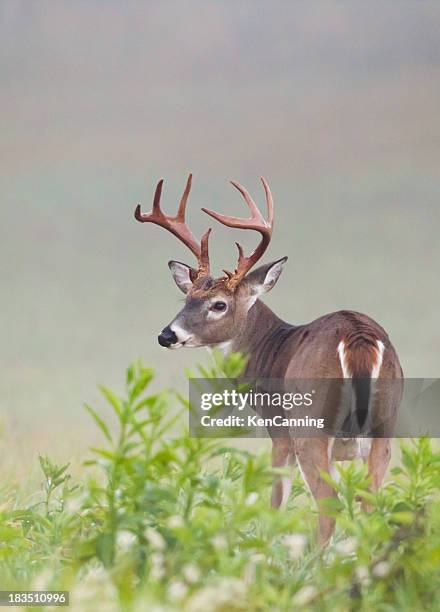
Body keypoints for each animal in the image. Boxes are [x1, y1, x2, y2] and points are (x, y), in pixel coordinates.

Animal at [133, 175, 402, 544]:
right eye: (186, 298)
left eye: (219, 304)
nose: (167, 335)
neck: (269, 348)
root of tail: (357, 338)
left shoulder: (279, 431)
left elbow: (275, 503)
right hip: (384, 424)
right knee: (370, 502)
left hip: (309, 424)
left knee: (328, 503)